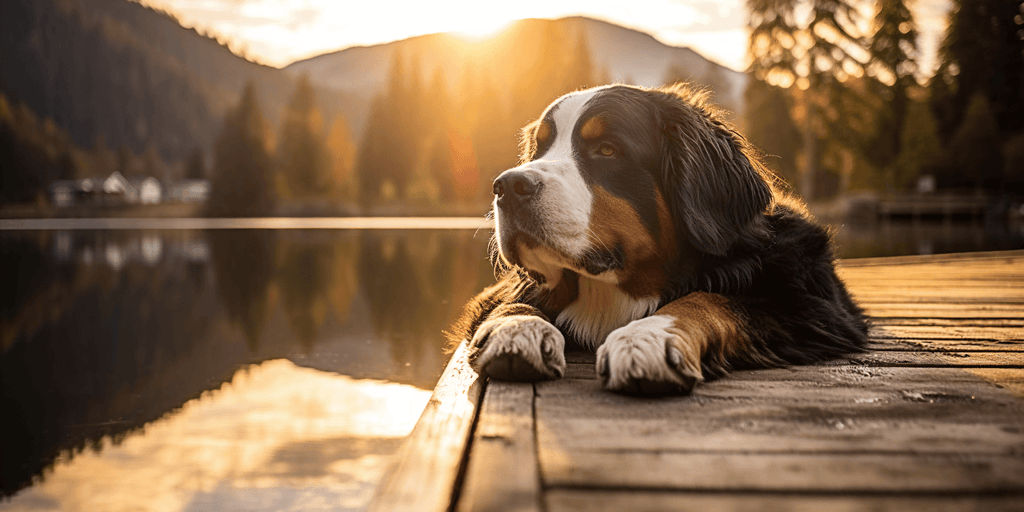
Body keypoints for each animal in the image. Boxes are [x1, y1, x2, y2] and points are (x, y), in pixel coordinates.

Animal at [452, 83, 868, 395]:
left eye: (607, 149)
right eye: (538, 150)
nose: (508, 185)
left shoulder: (814, 306)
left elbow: (711, 299)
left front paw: (647, 337)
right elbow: (514, 300)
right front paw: (516, 329)